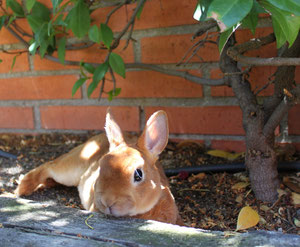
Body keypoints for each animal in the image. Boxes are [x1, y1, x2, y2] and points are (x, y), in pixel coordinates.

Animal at [16, 108, 183, 226]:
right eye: (101, 167)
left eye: (138, 175)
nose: (108, 201)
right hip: (69, 171)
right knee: (48, 167)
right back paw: (21, 189)